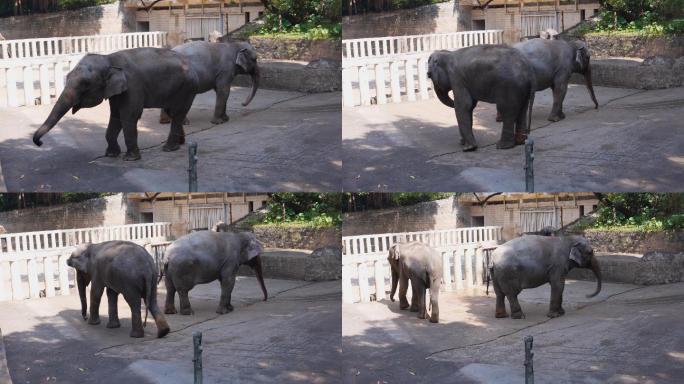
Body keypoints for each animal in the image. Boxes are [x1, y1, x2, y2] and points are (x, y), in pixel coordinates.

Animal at [32, 47, 198, 160]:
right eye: (67, 76)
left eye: (85, 84)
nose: (39, 143)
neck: (109, 59)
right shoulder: (116, 91)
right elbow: (115, 116)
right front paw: (111, 155)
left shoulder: (133, 86)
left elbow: (129, 116)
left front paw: (130, 159)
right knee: (173, 112)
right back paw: (179, 144)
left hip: (186, 89)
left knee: (178, 113)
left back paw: (169, 148)